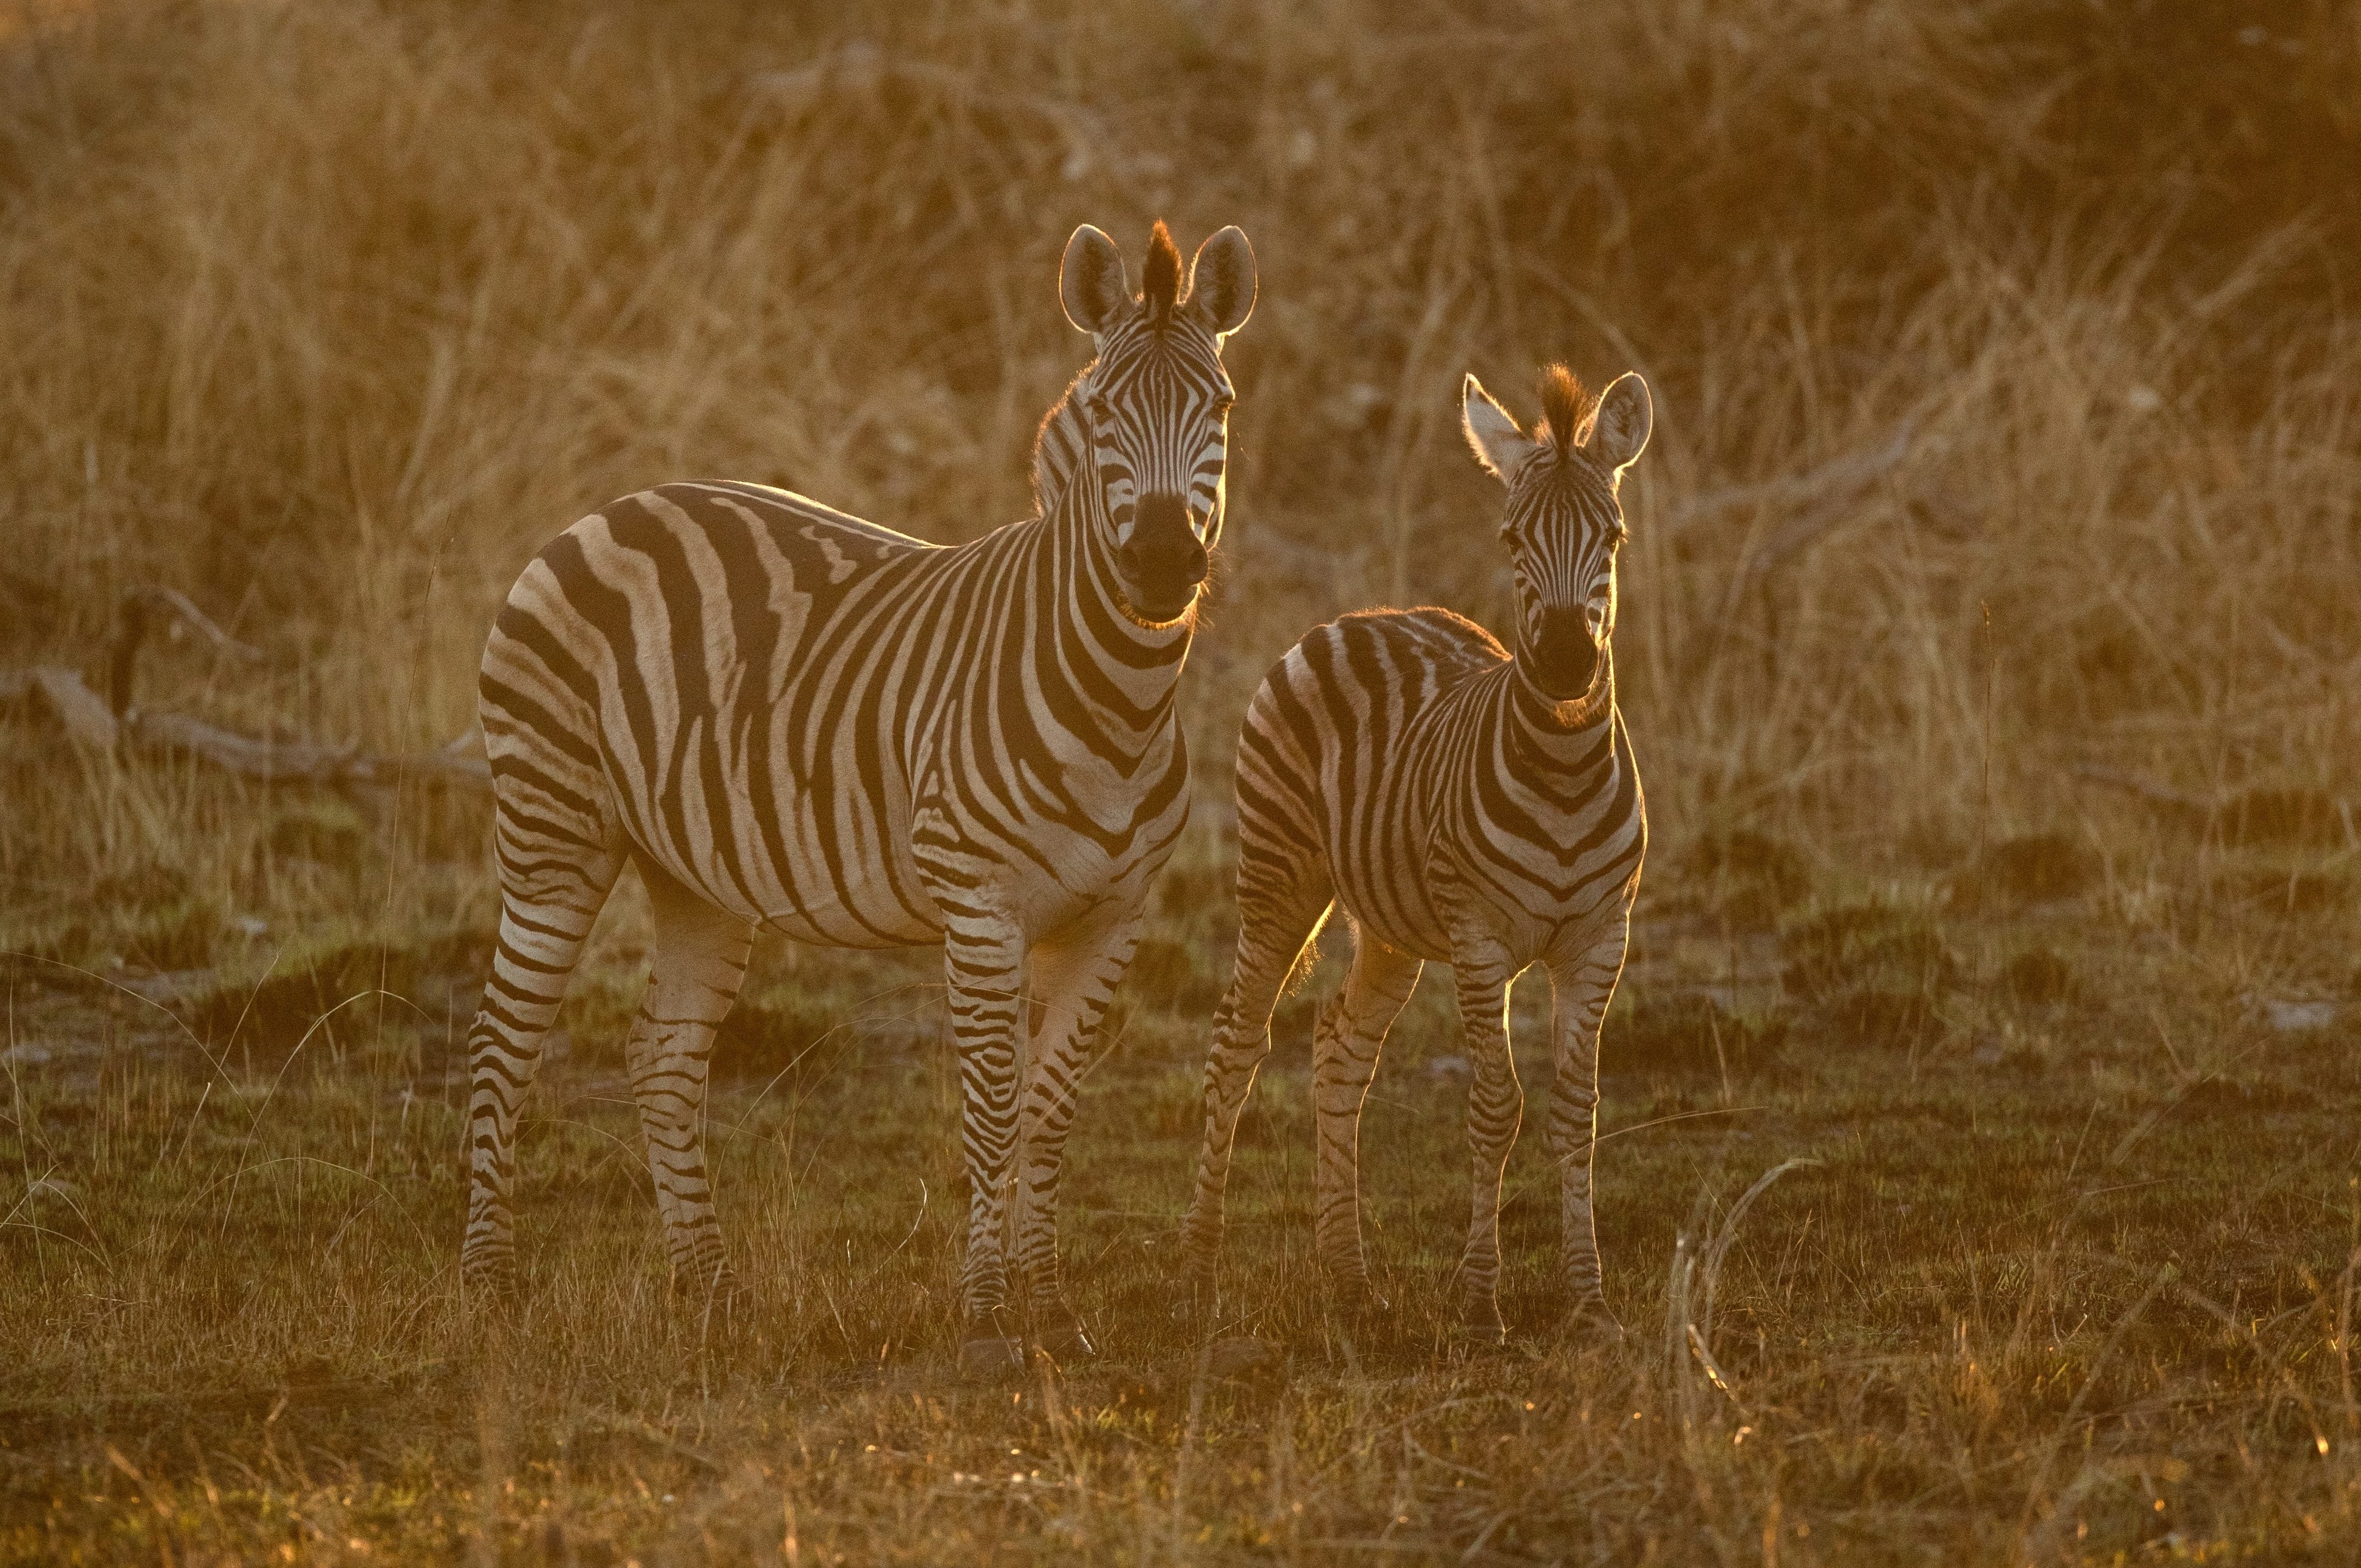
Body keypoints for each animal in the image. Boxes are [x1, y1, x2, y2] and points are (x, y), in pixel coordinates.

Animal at [461, 221, 1256, 1373]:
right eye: (1107, 410)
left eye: (1221, 407)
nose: (1157, 564)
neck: (1119, 703)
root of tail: (604, 511)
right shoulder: (980, 909)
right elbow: (994, 1109)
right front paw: (985, 1316)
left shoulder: (1114, 919)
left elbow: (1051, 1109)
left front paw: (1050, 1302)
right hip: (552, 835)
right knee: (500, 1043)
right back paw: (489, 1285)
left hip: (696, 873)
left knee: (661, 1057)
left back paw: (712, 1288)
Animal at [1179, 364, 1652, 1343]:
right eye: (1511, 537)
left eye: (1612, 536)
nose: (1560, 666)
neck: (1562, 770)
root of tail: (1360, 614)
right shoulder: (1479, 940)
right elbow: (1494, 1108)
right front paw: (1479, 1304)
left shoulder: (1600, 939)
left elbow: (1575, 1111)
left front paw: (1588, 1302)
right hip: (1279, 878)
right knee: (1235, 1045)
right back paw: (1198, 1272)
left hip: (1389, 925)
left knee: (1337, 1046)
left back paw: (1348, 1277)